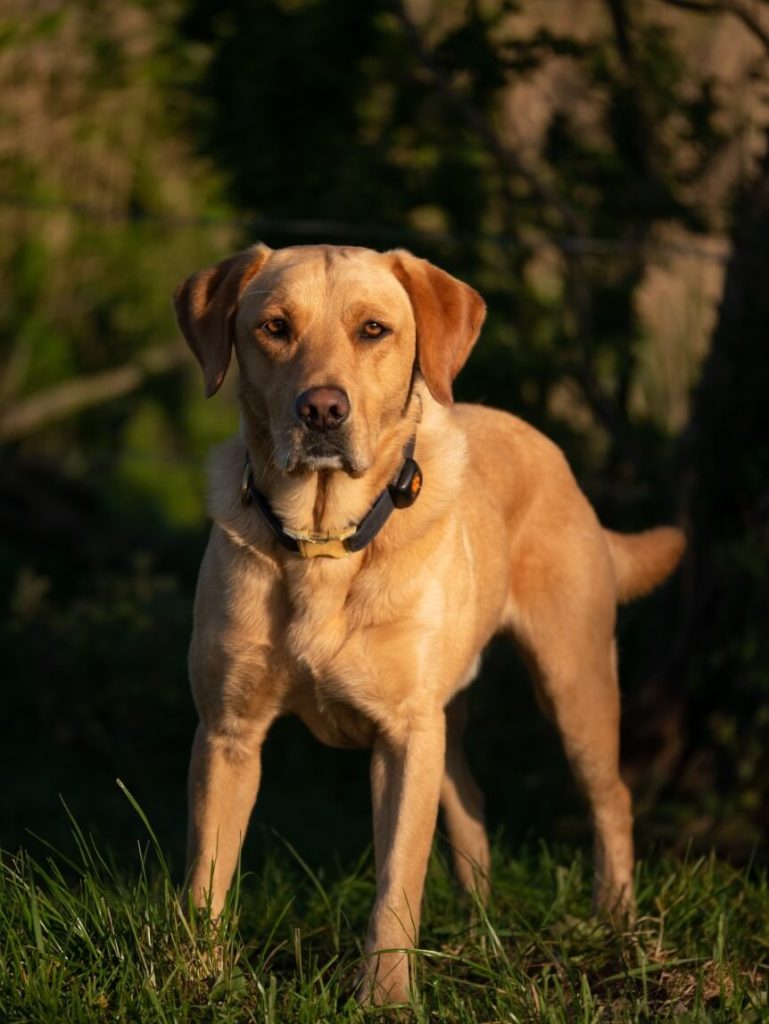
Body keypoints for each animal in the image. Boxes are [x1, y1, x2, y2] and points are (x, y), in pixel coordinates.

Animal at [174, 243, 684, 1003]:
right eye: (273, 327)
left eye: (373, 330)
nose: (321, 409)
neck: (323, 541)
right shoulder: (228, 732)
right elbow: (206, 875)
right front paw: (194, 979)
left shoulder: (406, 736)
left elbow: (397, 881)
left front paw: (385, 997)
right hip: (451, 718)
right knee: (471, 804)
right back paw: (479, 930)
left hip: (571, 682)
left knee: (612, 796)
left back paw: (615, 921)